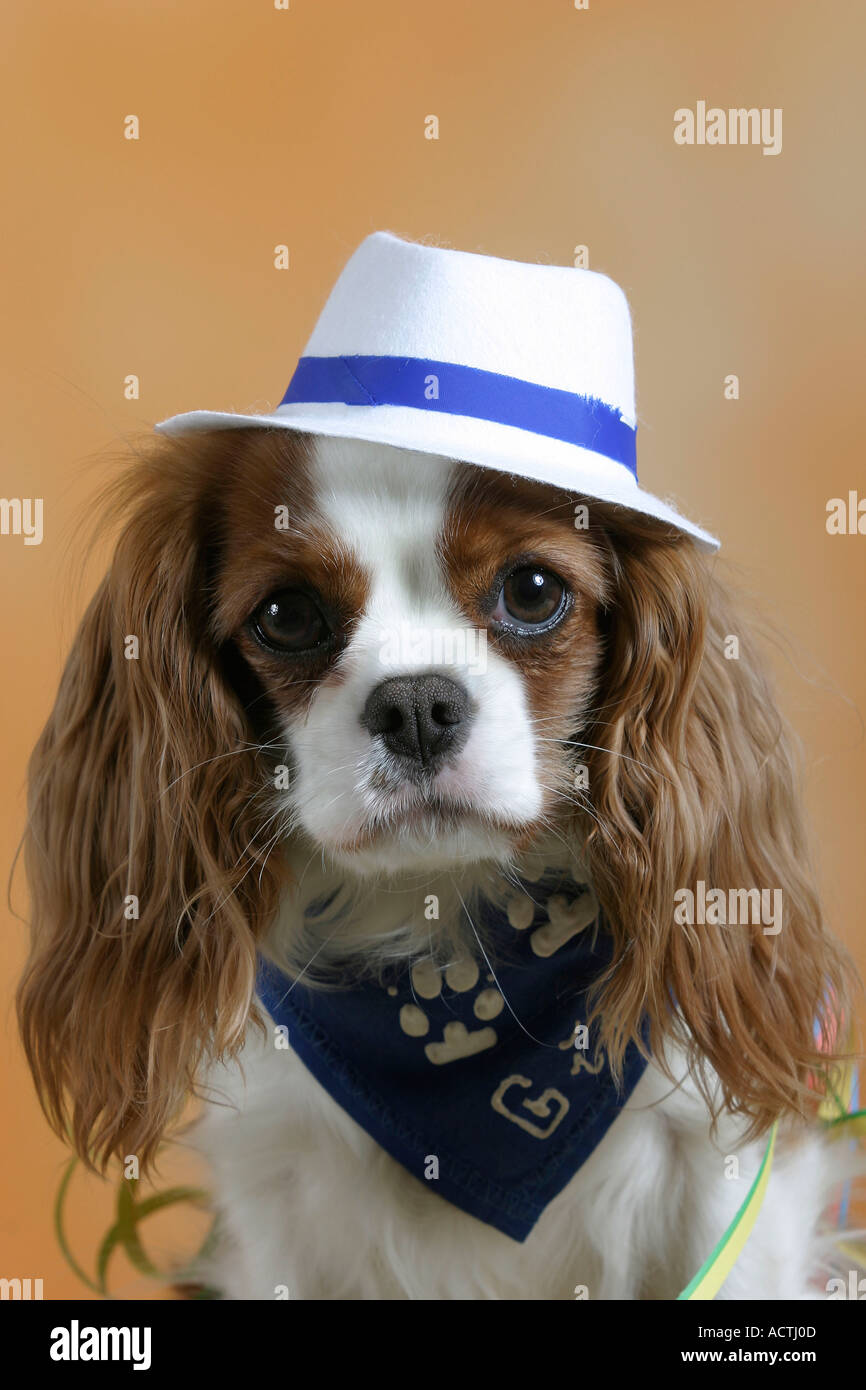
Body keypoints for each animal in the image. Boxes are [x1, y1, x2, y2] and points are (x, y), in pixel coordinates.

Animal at [15, 233, 861, 1295]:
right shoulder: (278, 1201)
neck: (448, 947)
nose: (416, 703)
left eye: (533, 590)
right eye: (285, 614)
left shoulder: (721, 1179)